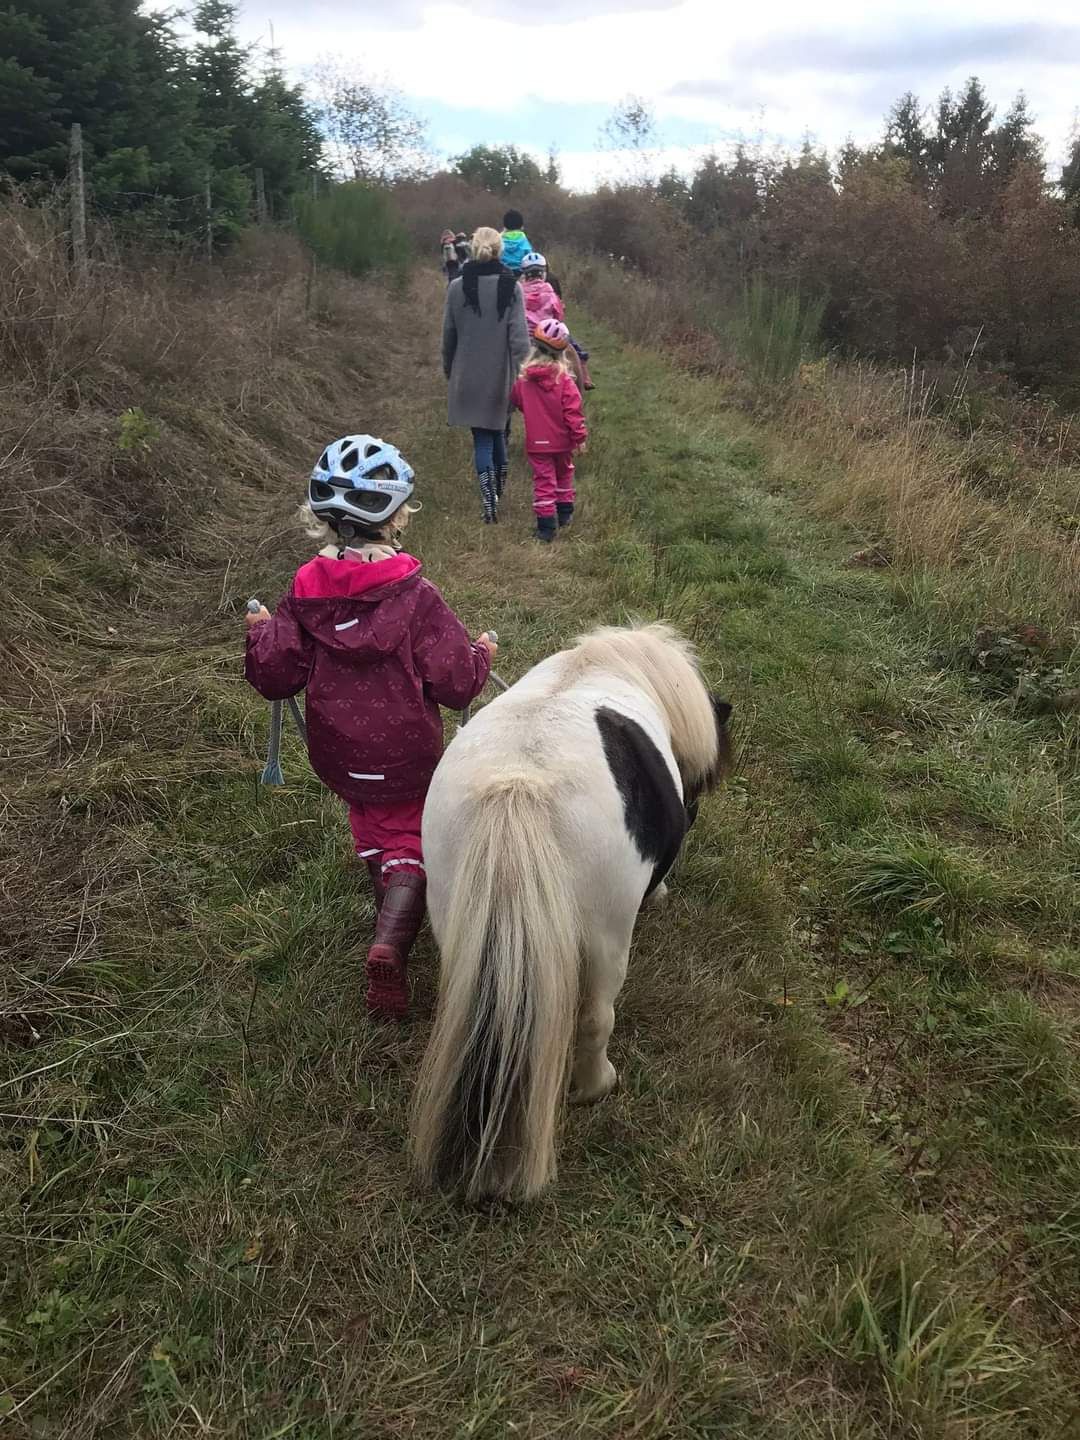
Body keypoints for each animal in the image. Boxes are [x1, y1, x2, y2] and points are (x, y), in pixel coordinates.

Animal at [408, 622, 731, 1203]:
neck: (607, 663)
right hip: (606, 938)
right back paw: (596, 1086)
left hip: (455, 920)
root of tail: (520, 788)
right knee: (596, 1017)